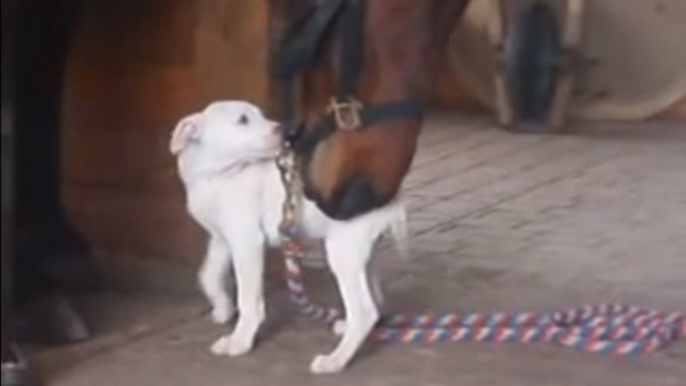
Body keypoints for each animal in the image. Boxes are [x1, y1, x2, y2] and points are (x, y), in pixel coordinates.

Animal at [172, 101, 408, 372]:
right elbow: (207, 275)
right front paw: (223, 307)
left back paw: (335, 360)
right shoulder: (222, 238)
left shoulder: (247, 242)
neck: (216, 176)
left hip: (342, 253)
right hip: (360, 251)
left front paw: (240, 341)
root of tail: (391, 192)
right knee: (375, 301)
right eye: (243, 120)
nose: (285, 131)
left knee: (364, 312)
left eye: (261, 115)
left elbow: (248, 300)